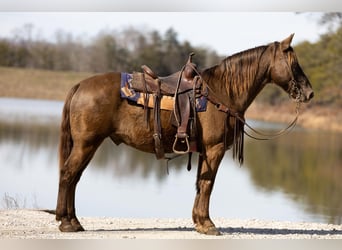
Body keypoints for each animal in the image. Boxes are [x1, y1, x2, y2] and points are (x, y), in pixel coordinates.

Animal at [55, 34, 312, 235]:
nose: (309, 92)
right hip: (87, 144)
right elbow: (208, 183)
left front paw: (199, 222)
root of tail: (79, 86)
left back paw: (73, 221)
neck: (222, 92)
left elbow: (200, 183)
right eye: (294, 64)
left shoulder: (204, 151)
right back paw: (67, 223)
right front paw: (207, 224)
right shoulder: (214, 149)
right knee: (68, 175)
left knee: (74, 177)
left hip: (88, 145)